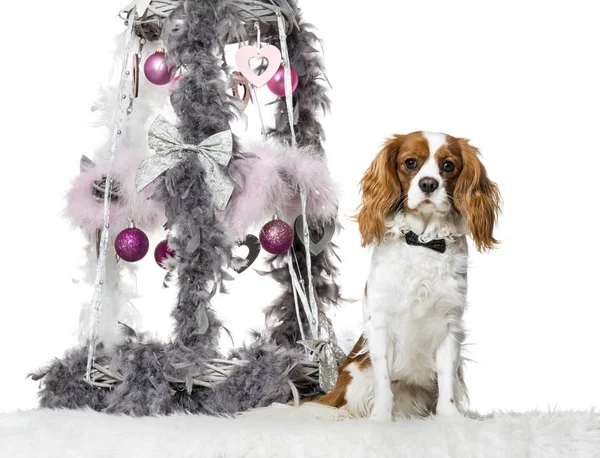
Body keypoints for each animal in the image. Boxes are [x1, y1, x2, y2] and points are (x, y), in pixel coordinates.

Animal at [312, 131, 500, 420]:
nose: (428, 184)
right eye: (410, 163)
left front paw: (450, 417)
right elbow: (383, 382)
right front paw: (380, 418)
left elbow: (447, 380)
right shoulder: (380, 325)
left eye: (448, 166)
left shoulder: (449, 326)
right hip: (356, 375)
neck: (423, 242)